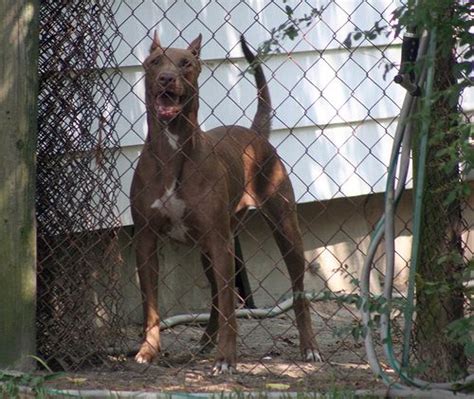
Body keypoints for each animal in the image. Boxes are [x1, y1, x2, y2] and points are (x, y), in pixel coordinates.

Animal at [130, 32, 322, 376]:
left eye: (186, 63)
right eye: (154, 62)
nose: (166, 78)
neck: (172, 151)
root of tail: (256, 133)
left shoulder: (220, 242)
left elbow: (232, 307)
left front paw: (226, 359)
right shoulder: (146, 240)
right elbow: (150, 305)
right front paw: (148, 351)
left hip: (283, 230)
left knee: (296, 291)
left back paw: (309, 347)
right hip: (212, 249)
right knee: (218, 296)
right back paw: (207, 339)